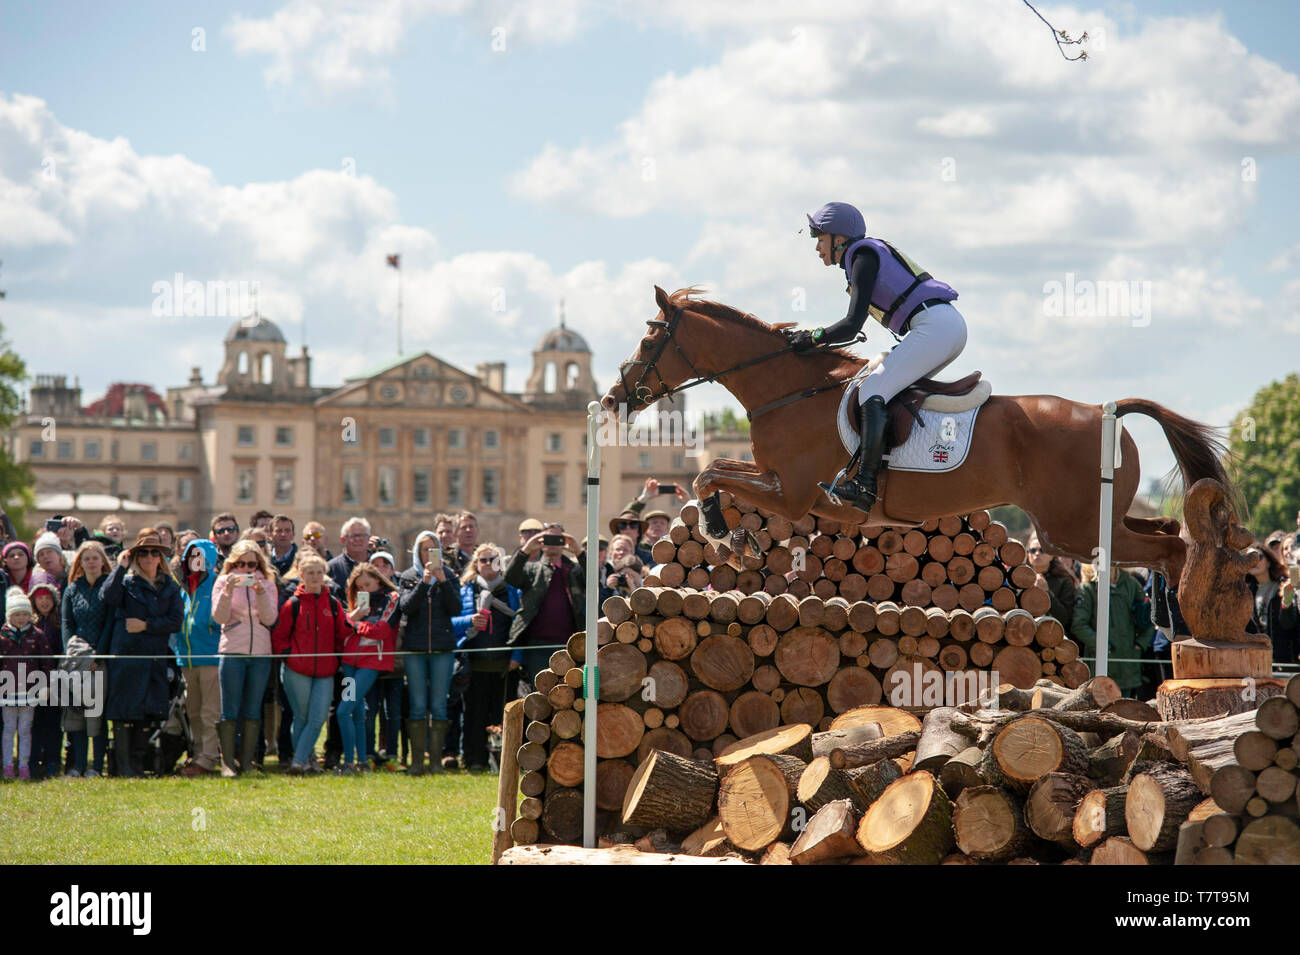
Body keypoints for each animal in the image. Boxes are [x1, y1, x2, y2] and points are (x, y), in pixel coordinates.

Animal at [603, 285, 1232, 582]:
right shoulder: (776, 480)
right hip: (1087, 524)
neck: (788, 389)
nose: (614, 397)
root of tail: (1107, 412)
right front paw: (731, 537)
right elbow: (713, 472)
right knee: (1168, 532)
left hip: (1071, 531)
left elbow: (708, 474)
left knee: (1172, 548)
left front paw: (724, 536)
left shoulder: (795, 492)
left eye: (651, 337)